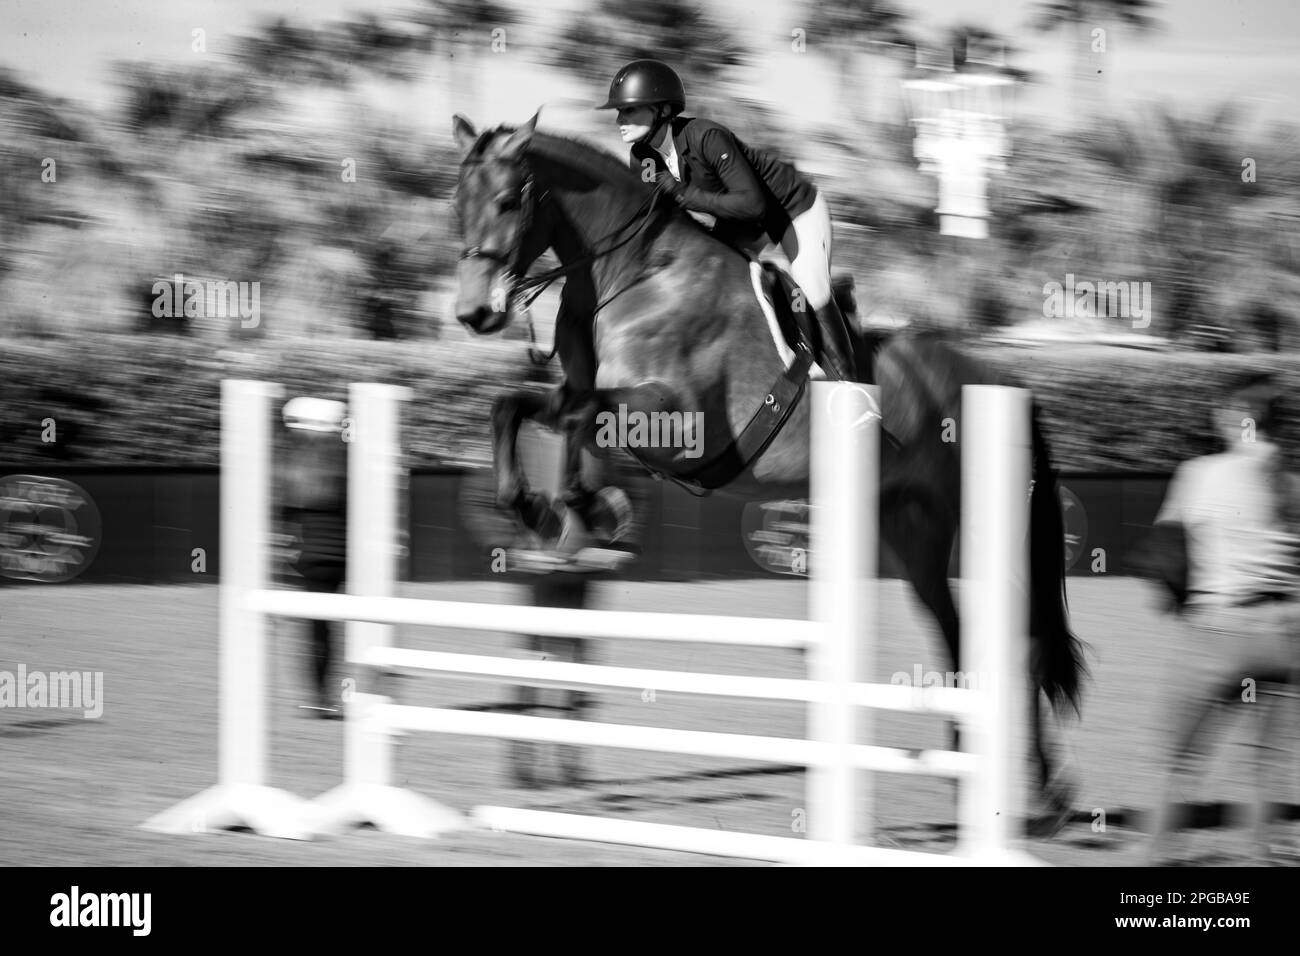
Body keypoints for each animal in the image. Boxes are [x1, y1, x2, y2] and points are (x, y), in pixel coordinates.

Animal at [447, 110, 1086, 832]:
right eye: (458, 204)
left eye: (508, 201)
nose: (474, 314)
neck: (631, 274)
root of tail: (1003, 382)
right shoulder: (584, 396)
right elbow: (521, 408)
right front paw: (546, 508)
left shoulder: (673, 421)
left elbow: (581, 421)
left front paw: (573, 507)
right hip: (911, 526)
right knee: (953, 629)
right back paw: (967, 775)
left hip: (987, 525)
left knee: (1024, 634)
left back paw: (1048, 799)